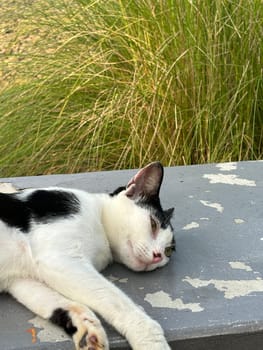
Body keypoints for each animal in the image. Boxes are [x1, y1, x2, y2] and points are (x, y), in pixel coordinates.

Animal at [1, 163, 176, 350]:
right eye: (153, 224)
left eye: (168, 251)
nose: (158, 256)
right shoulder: (59, 259)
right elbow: (116, 300)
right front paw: (152, 341)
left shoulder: (20, 280)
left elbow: (61, 304)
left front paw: (86, 329)